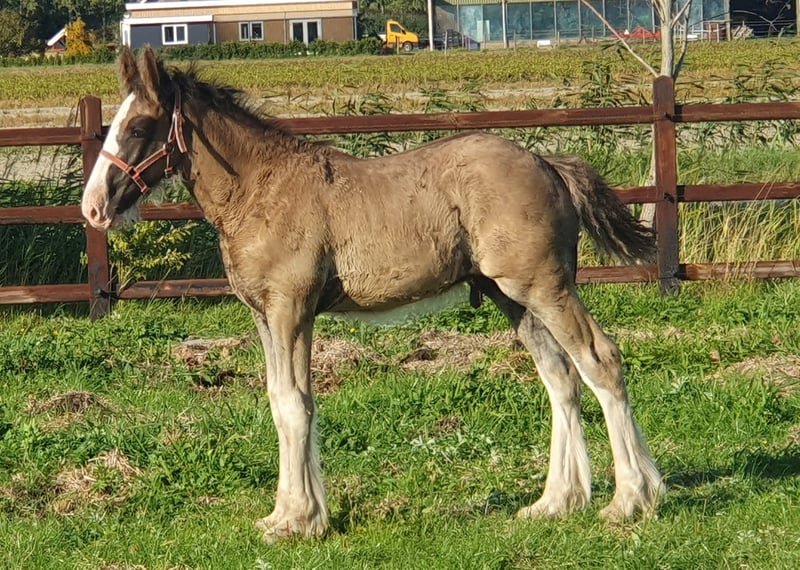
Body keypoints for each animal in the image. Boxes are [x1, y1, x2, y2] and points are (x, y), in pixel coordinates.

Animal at [81, 47, 664, 541]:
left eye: (139, 126)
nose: (93, 207)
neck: (260, 190)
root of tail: (548, 164)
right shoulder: (264, 316)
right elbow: (279, 401)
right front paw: (286, 513)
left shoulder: (292, 309)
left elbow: (294, 404)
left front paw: (298, 520)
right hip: (512, 297)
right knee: (560, 378)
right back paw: (557, 501)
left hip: (545, 286)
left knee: (600, 361)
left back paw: (632, 499)